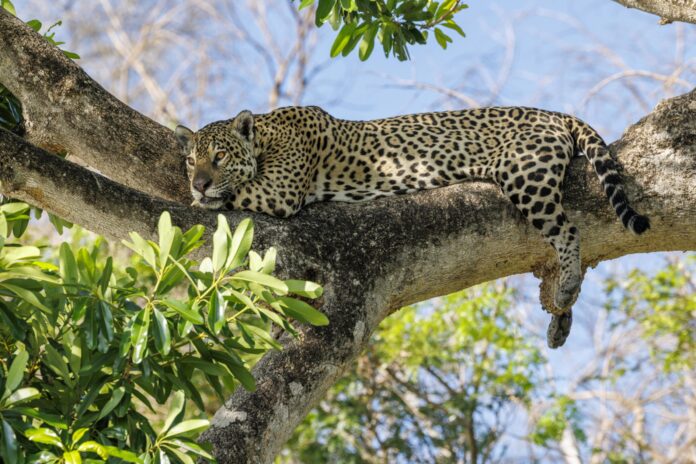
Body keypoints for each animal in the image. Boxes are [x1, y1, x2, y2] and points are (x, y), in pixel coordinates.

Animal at [174, 105, 650, 348]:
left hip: (525, 173)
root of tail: (555, 112)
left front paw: (199, 197)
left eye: (219, 156)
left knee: (569, 231)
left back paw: (565, 286)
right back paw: (560, 320)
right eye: (191, 159)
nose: (199, 181)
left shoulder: (279, 189)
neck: (267, 134)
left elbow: (232, 193)